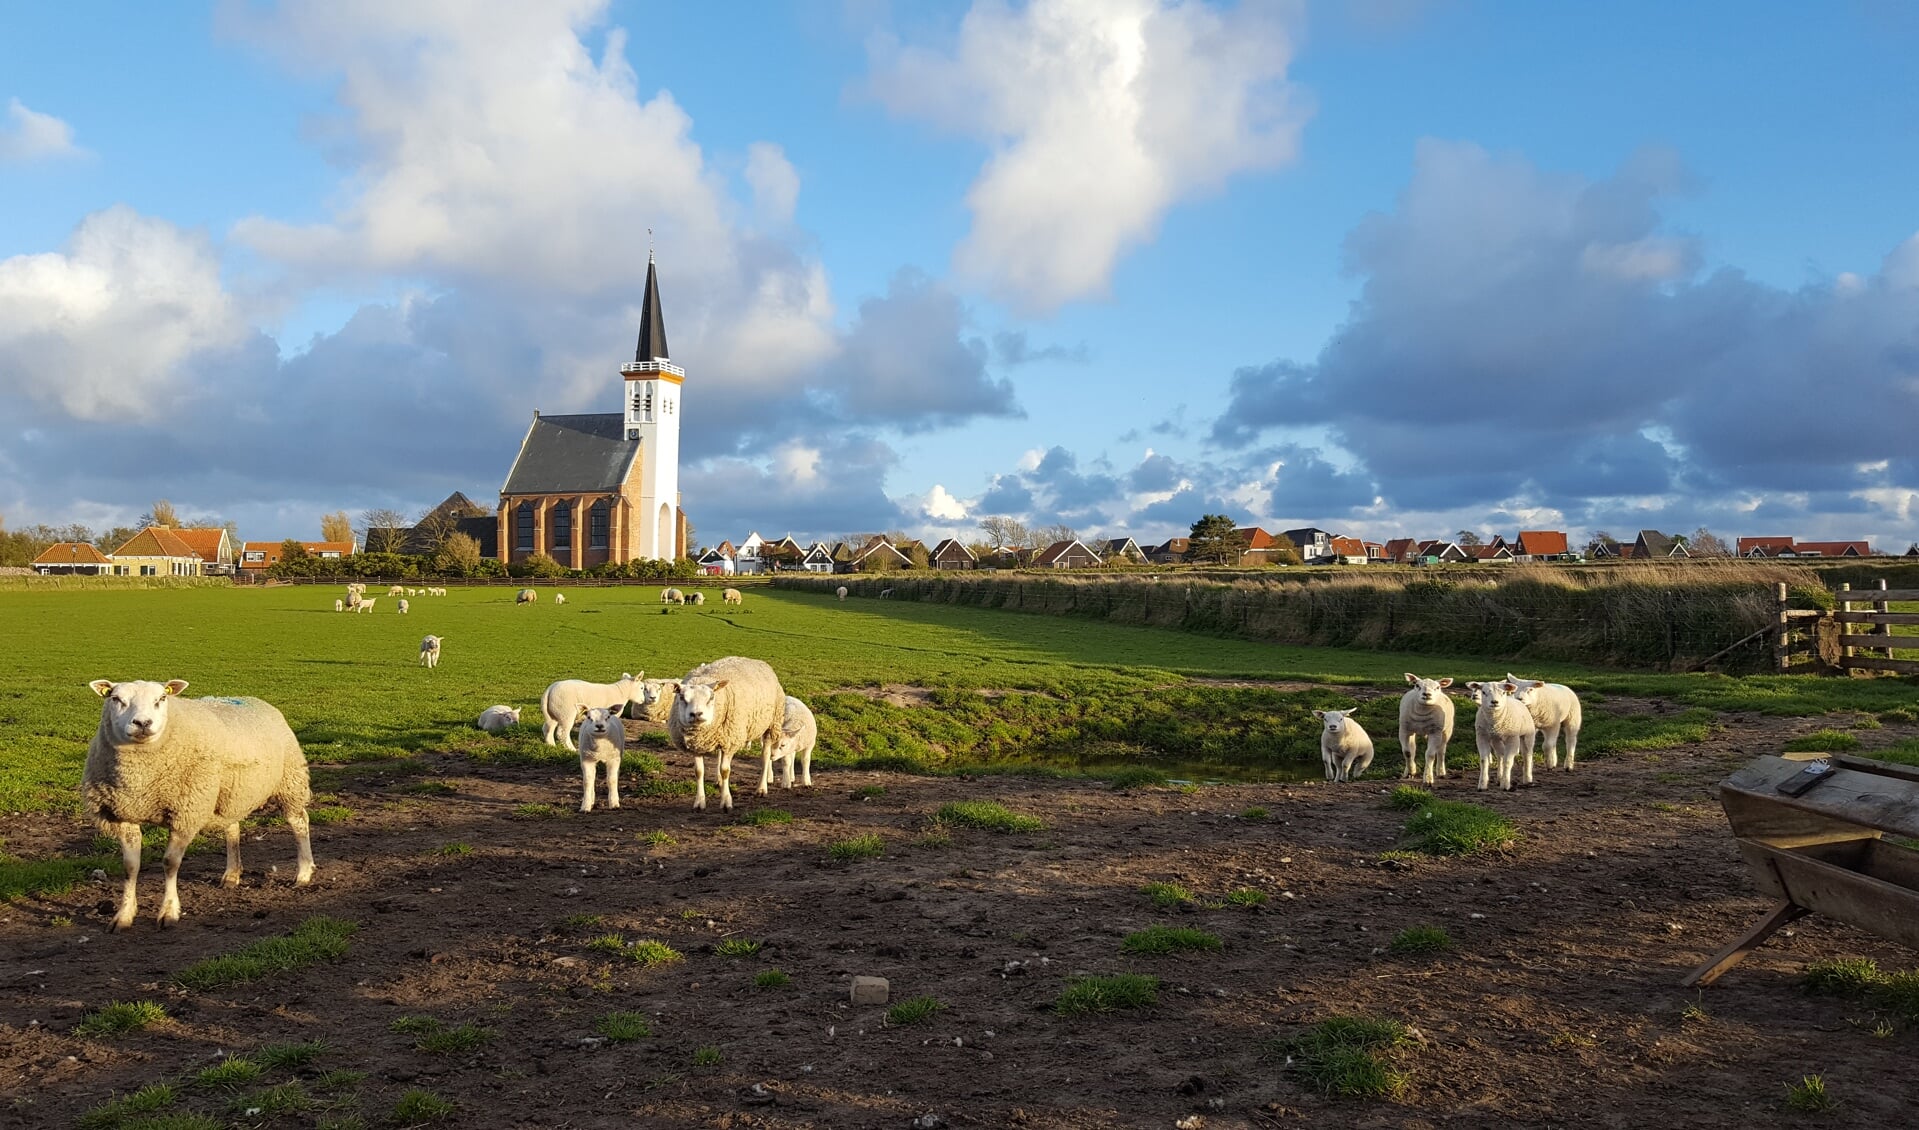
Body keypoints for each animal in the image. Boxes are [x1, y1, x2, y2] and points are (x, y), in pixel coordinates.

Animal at [81, 675, 310, 928]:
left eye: (161, 698)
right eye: (116, 699)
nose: (142, 723)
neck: (140, 778)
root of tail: (255, 699)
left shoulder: (186, 813)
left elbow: (170, 863)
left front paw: (169, 912)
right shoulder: (121, 815)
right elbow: (130, 867)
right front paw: (123, 915)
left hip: (290, 781)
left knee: (300, 822)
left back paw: (304, 873)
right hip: (229, 794)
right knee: (232, 828)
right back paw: (232, 874)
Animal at [660, 652, 779, 809]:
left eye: (711, 697)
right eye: (681, 697)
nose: (696, 714)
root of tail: (757, 660)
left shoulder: (731, 741)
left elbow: (725, 770)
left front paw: (726, 801)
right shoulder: (698, 745)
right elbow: (699, 772)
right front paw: (699, 802)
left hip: (770, 725)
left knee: (765, 756)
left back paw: (761, 788)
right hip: (721, 735)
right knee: (719, 756)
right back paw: (720, 782)